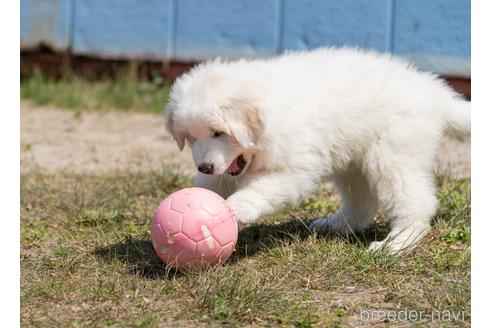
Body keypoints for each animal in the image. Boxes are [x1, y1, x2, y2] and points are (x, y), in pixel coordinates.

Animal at [164, 48, 468, 254]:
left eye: (219, 132)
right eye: (191, 138)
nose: (204, 166)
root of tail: (434, 92)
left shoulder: (293, 169)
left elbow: (261, 189)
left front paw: (236, 207)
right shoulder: (225, 170)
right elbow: (210, 186)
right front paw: (192, 202)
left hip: (392, 156)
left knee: (413, 202)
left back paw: (396, 243)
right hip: (353, 161)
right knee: (362, 204)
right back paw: (336, 224)